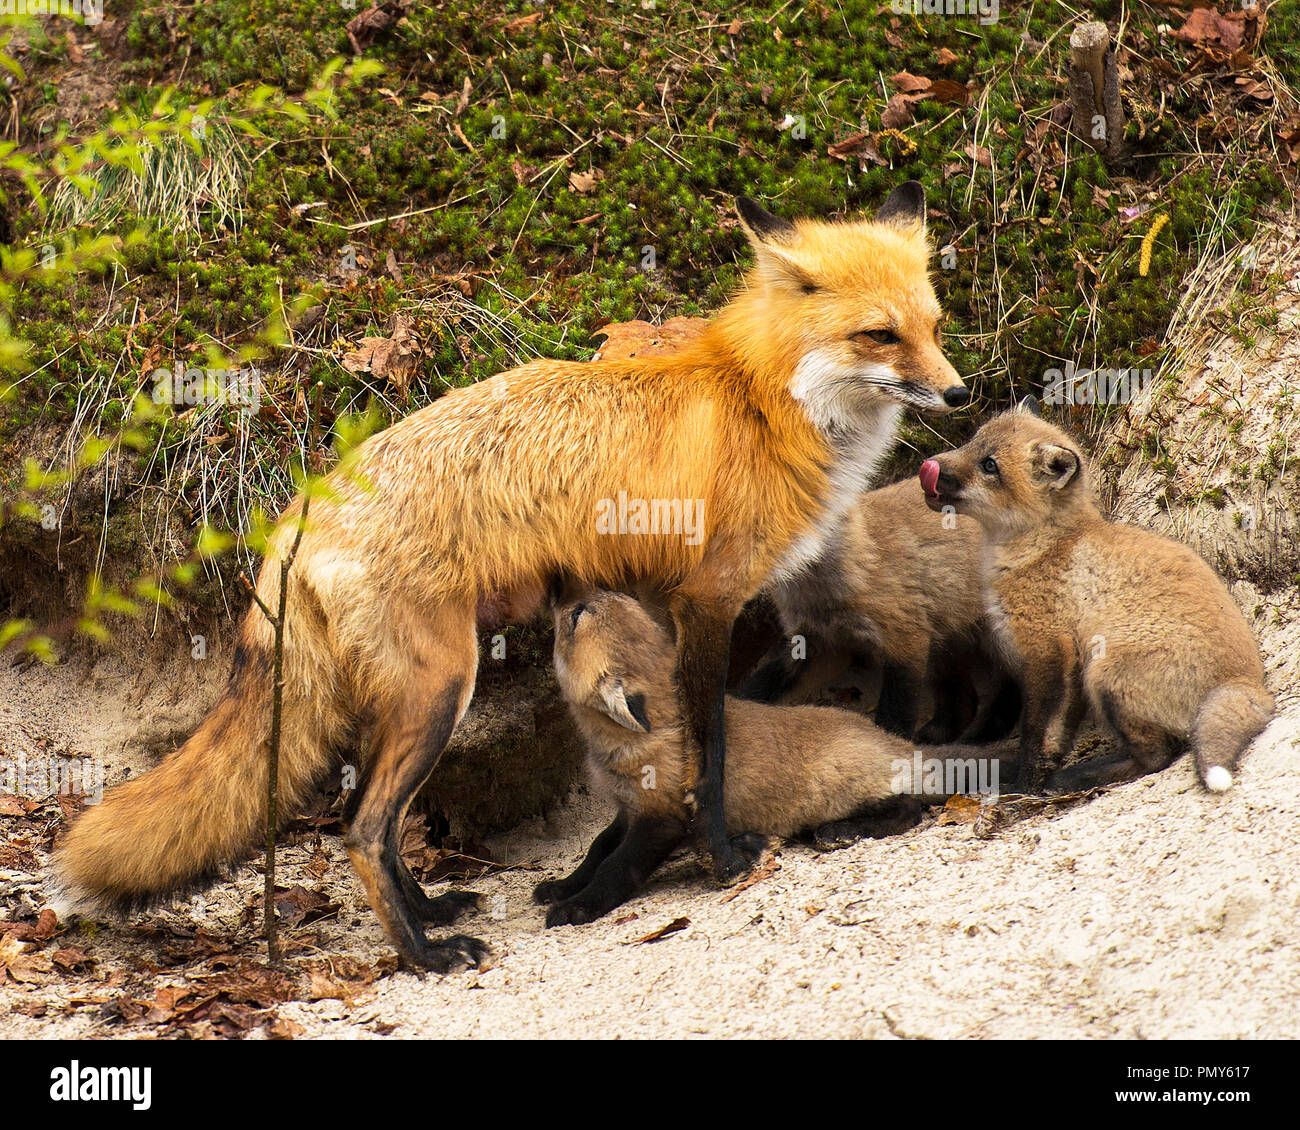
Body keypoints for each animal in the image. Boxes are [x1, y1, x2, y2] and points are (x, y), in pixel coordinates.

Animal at [538, 585, 1011, 926]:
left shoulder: (662, 819)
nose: (559, 583)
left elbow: (617, 868)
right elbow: (597, 849)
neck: (619, 749)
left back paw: (841, 831)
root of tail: (888, 738)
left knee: (908, 808)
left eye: (577, 615)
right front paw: (563, 886)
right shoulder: (629, 808)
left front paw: (580, 907)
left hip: (832, 787)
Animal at [741, 475, 1020, 743]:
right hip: (943, 643)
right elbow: (759, 687)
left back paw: (988, 733)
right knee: (964, 697)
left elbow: (896, 711)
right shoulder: (816, 643)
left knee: (1013, 687)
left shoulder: (905, 638)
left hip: (995, 637)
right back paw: (944, 732)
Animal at [919, 401, 1274, 793]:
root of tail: (1244, 681)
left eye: (989, 465)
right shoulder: (1068, 666)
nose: (928, 466)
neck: (1043, 547)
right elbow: (1059, 735)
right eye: (972, 441)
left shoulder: (1048, 649)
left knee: (1156, 758)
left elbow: (1037, 734)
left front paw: (1023, 787)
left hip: (1106, 674)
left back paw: (1082, 776)